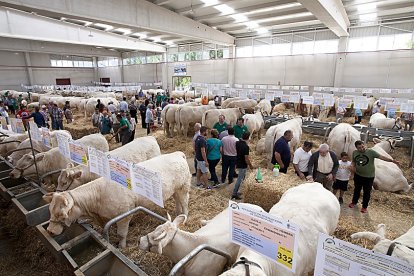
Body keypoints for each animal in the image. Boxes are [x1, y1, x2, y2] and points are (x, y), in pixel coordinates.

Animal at [44, 151, 190, 248]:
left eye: (61, 214)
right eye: (50, 210)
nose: (50, 231)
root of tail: (177, 154)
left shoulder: (124, 215)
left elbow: (121, 234)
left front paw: (122, 246)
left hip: (184, 187)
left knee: (185, 204)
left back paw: (184, 218)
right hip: (176, 190)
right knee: (178, 202)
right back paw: (178, 214)